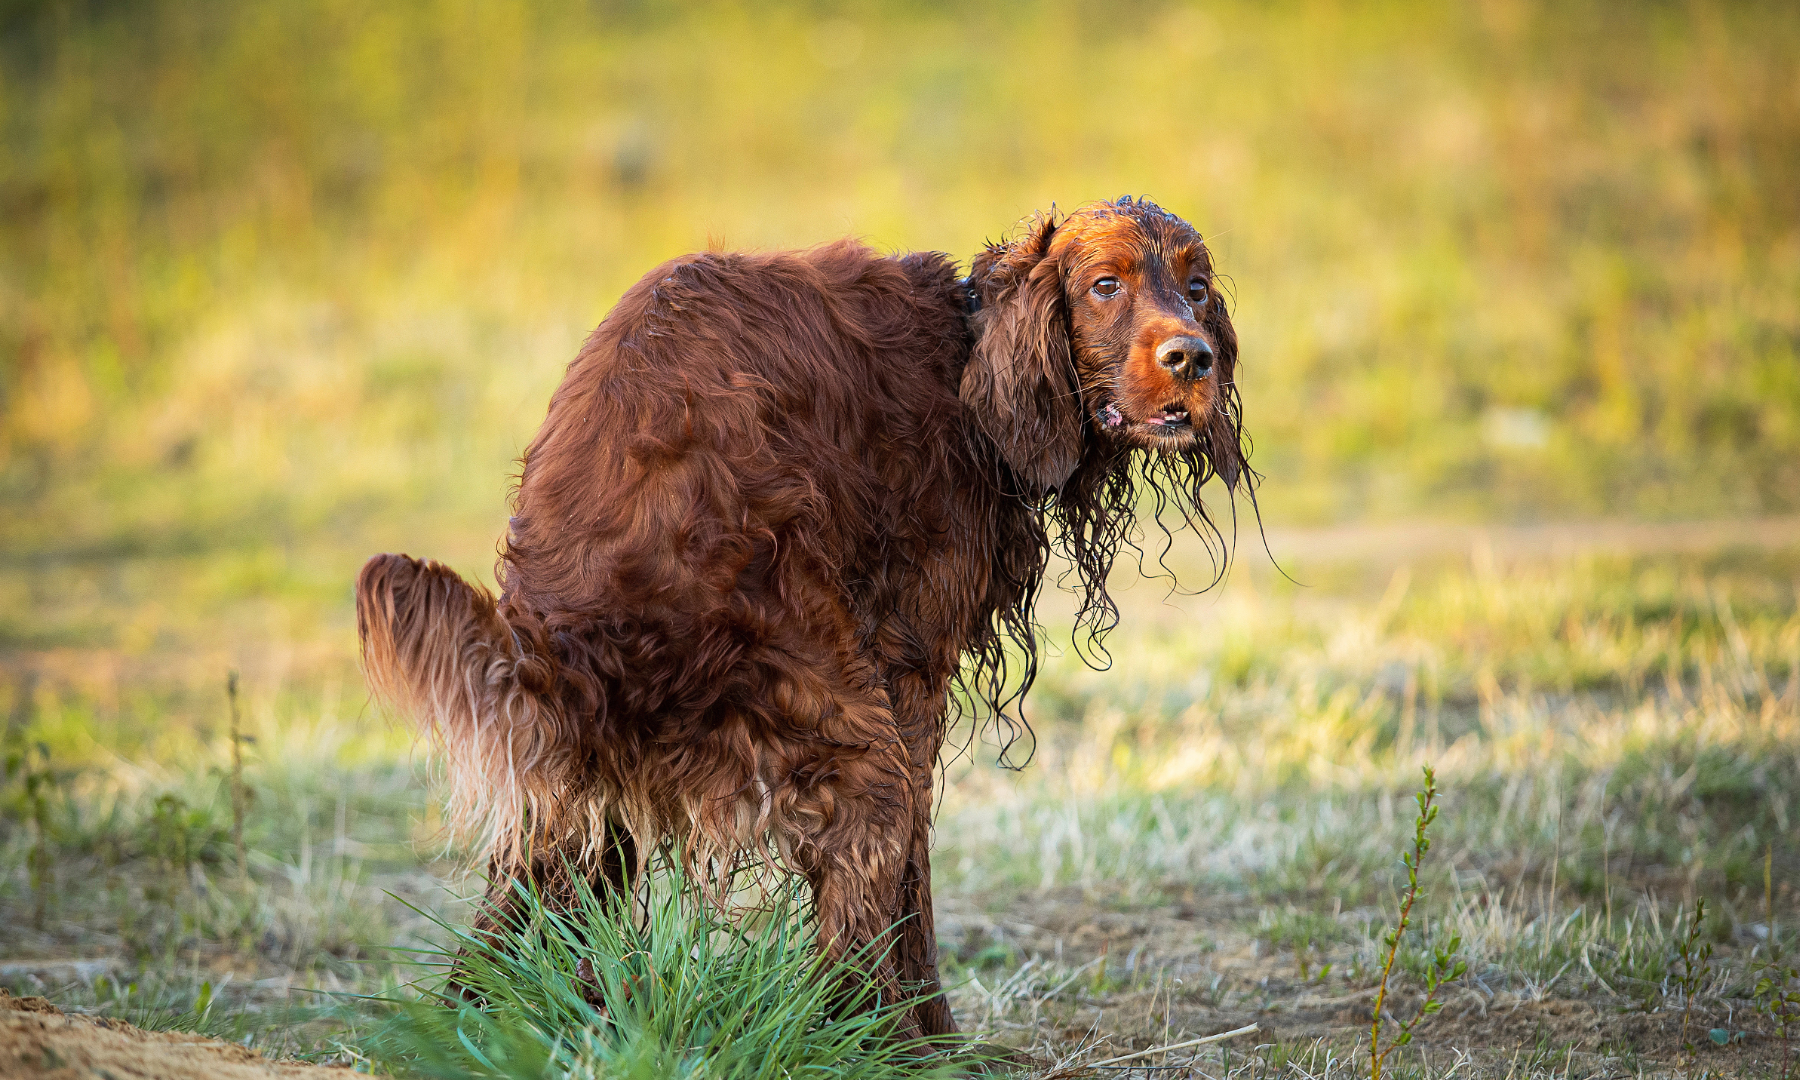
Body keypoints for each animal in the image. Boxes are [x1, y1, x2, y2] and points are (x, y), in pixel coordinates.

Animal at [356, 194, 1245, 1036]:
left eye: (1197, 288)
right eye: (1105, 286)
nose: (1192, 358)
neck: (968, 358)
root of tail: (569, 634)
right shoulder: (909, 670)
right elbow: (913, 882)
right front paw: (938, 1042)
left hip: (584, 768)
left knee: (537, 880)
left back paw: (473, 1022)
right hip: (841, 727)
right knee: (855, 902)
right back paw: (885, 1044)